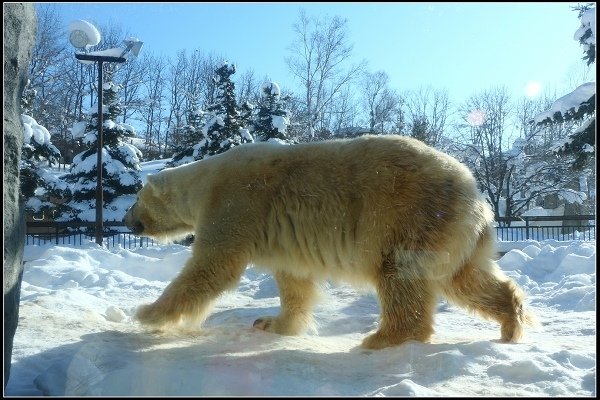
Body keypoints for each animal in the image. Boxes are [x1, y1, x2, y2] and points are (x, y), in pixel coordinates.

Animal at [123, 135, 536, 350]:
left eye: (134, 199)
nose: (127, 221)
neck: (205, 181)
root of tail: (476, 193)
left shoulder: (235, 204)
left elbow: (212, 267)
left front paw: (146, 313)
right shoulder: (279, 238)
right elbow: (294, 282)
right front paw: (272, 322)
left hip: (410, 215)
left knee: (401, 275)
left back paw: (381, 338)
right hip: (451, 232)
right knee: (465, 278)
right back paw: (511, 323)